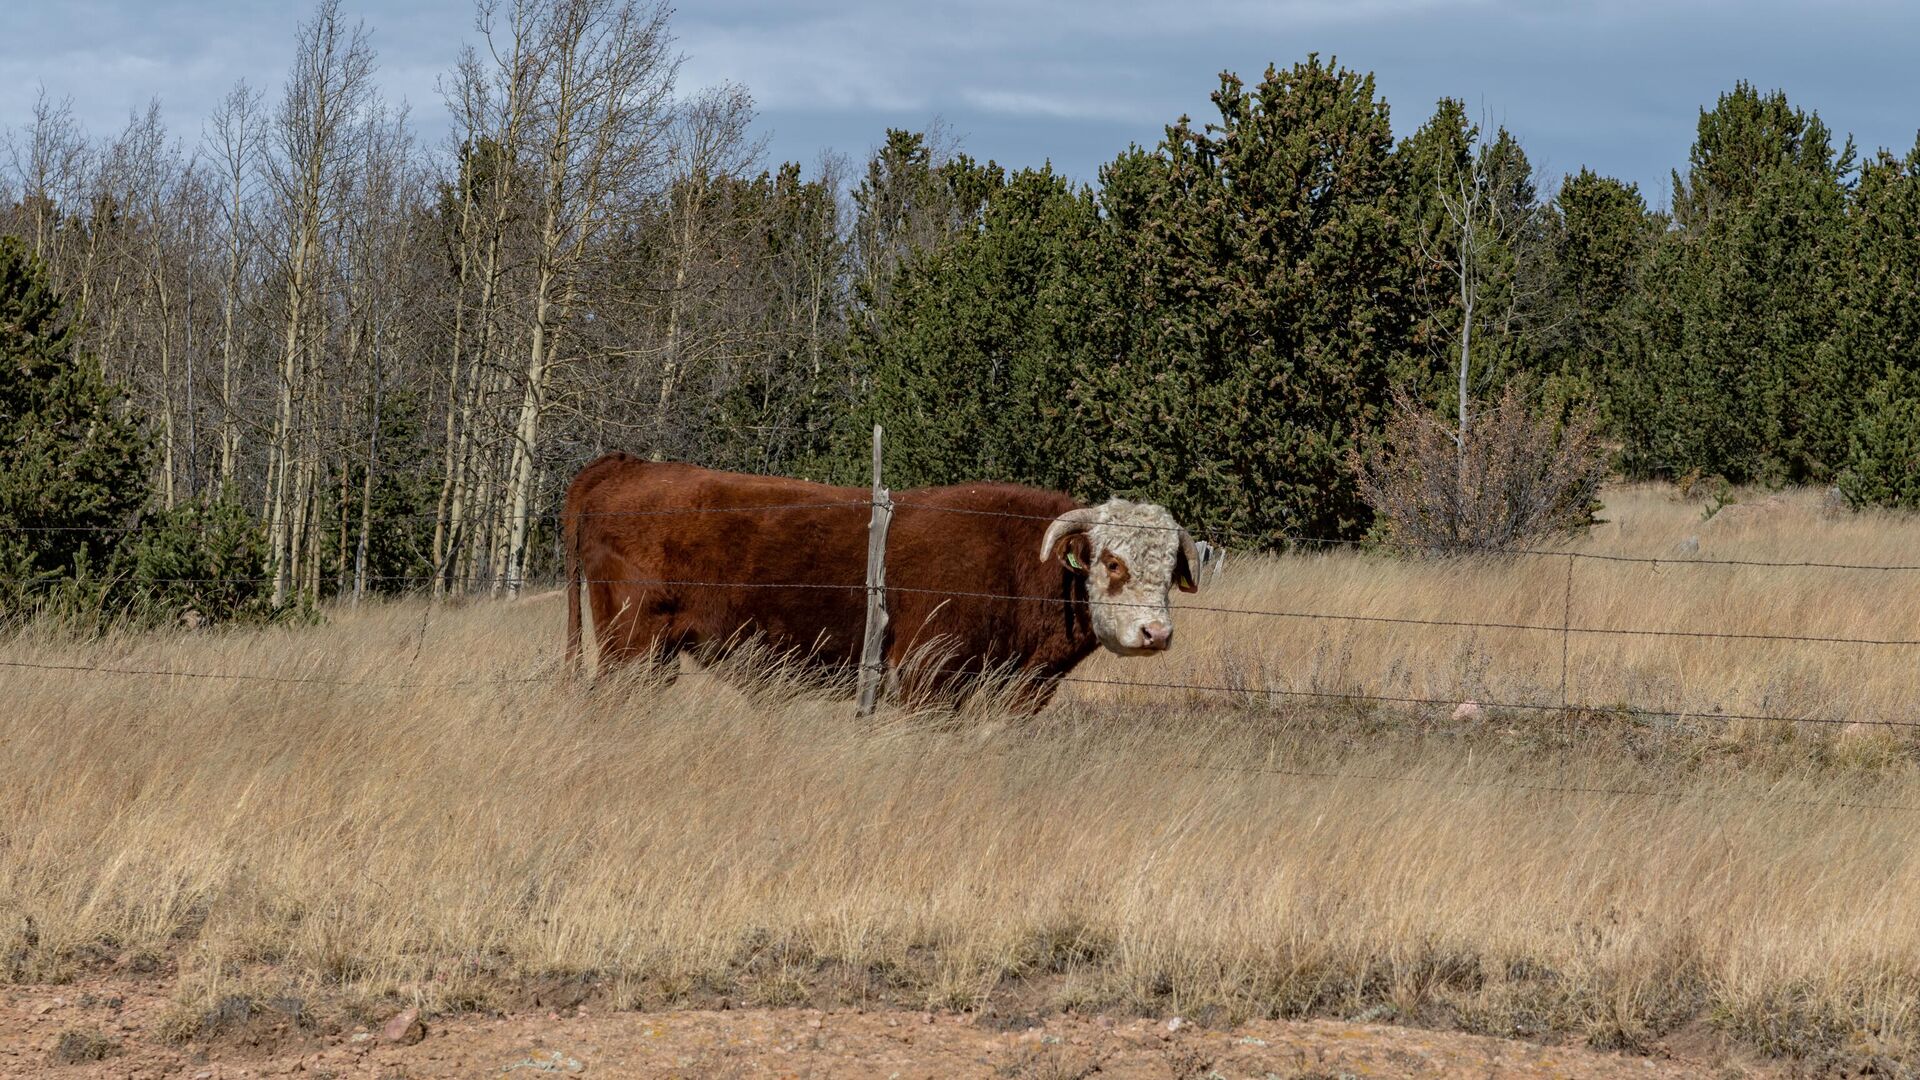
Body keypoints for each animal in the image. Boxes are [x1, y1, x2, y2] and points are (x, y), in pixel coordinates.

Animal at [564, 451, 1198, 707]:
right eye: (1112, 562)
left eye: (1171, 569)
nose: (1157, 634)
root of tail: (624, 466)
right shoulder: (926, 680)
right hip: (632, 648)